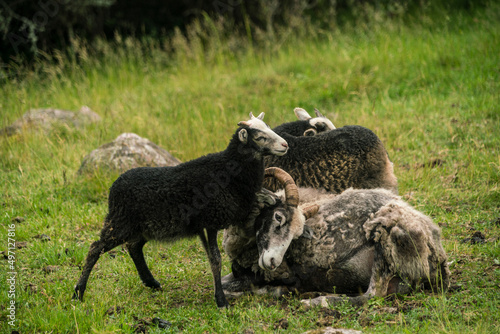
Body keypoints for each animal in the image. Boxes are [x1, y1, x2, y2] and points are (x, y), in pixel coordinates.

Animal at [223, 167, 450, 306]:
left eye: (296, 235)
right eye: (277, 217)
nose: (273, 262)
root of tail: (437, 252)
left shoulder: (286, 275)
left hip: (385, 239)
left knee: (372, 295)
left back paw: (316, 301)